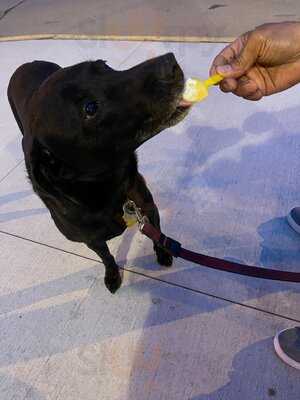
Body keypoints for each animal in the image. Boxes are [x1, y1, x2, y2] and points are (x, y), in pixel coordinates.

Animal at [7, 51, 190, 292]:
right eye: (90, 108)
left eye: (104, 66)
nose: (170, 62)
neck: (110, 191)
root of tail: (28, 63)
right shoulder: (92, 240)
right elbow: (106, 256)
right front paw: (112, 274)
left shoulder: (147, 207)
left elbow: (157, 234)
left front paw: (162, 251)